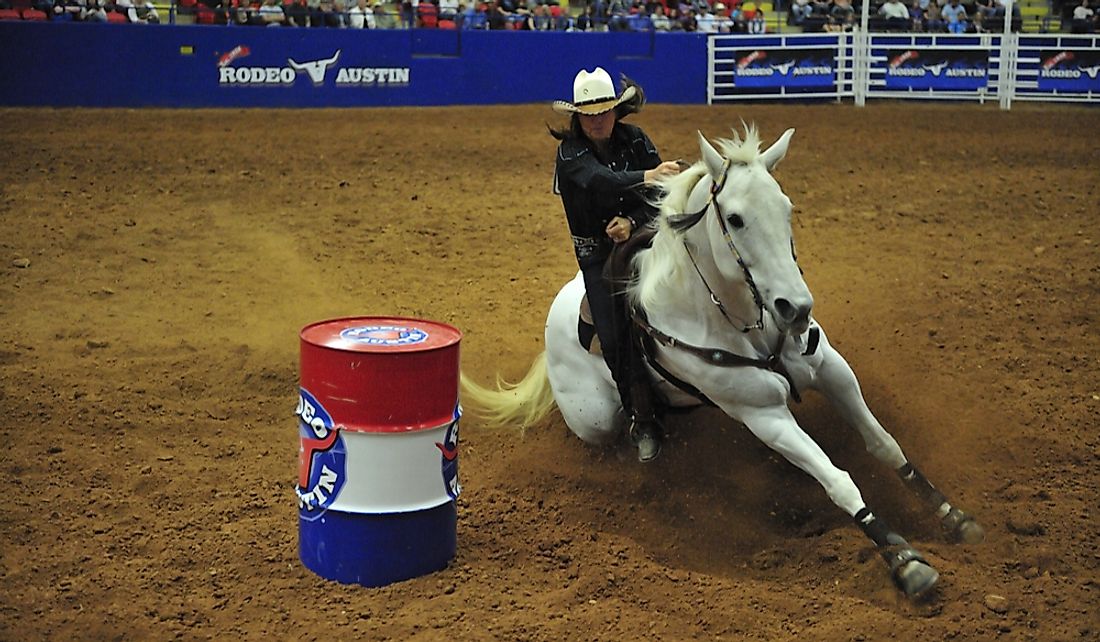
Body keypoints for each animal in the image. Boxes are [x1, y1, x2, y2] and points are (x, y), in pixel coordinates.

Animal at [459, 126, 985, 602]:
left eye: (787, 207)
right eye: (734, 218)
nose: (796, 309)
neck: (736, 319)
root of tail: (557, 318)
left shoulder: (833, 370)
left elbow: (884, 444)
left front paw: (953, 517)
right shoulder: (764, 415)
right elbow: (838, 480)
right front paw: (906, 561)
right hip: (596, 420)